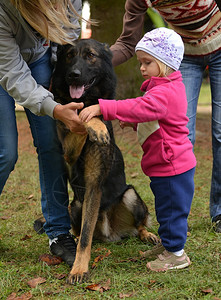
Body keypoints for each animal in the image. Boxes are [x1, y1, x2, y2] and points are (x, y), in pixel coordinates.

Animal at [35, 38, 158, 284]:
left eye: (90, 55)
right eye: (70, 55)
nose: (73, 74)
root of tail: (111, 234)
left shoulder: (93, 184)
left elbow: (92, 111)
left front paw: (79, 269)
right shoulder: (69, 152)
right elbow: (80, 117)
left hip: (130, 195)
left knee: (138, 225)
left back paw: (147, 234)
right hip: (75, 206)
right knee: (79, 231)